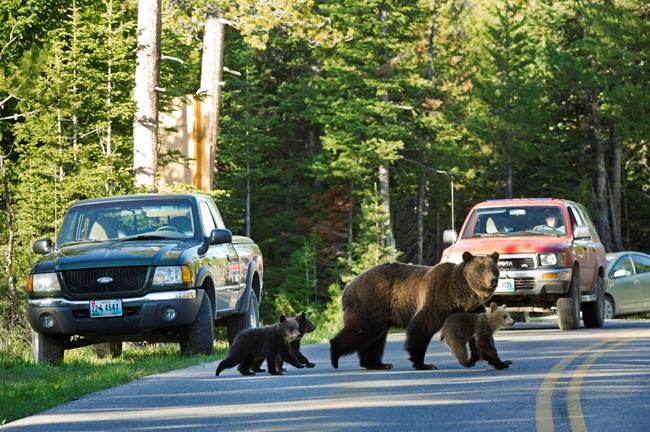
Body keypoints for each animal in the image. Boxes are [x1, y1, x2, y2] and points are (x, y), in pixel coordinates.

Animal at [330, 251, 499, 371]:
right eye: (480, 270)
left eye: (494, 269)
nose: (493, 280)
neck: (460, 296)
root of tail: (348, 287)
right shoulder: (437, 300)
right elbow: (421, 328)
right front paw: (423, 363)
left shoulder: (474, 310)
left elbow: (482, 335)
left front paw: (495, 361)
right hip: (371, 302)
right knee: (363, 330)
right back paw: (335, 354)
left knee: (375, 338)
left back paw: (378, 364)